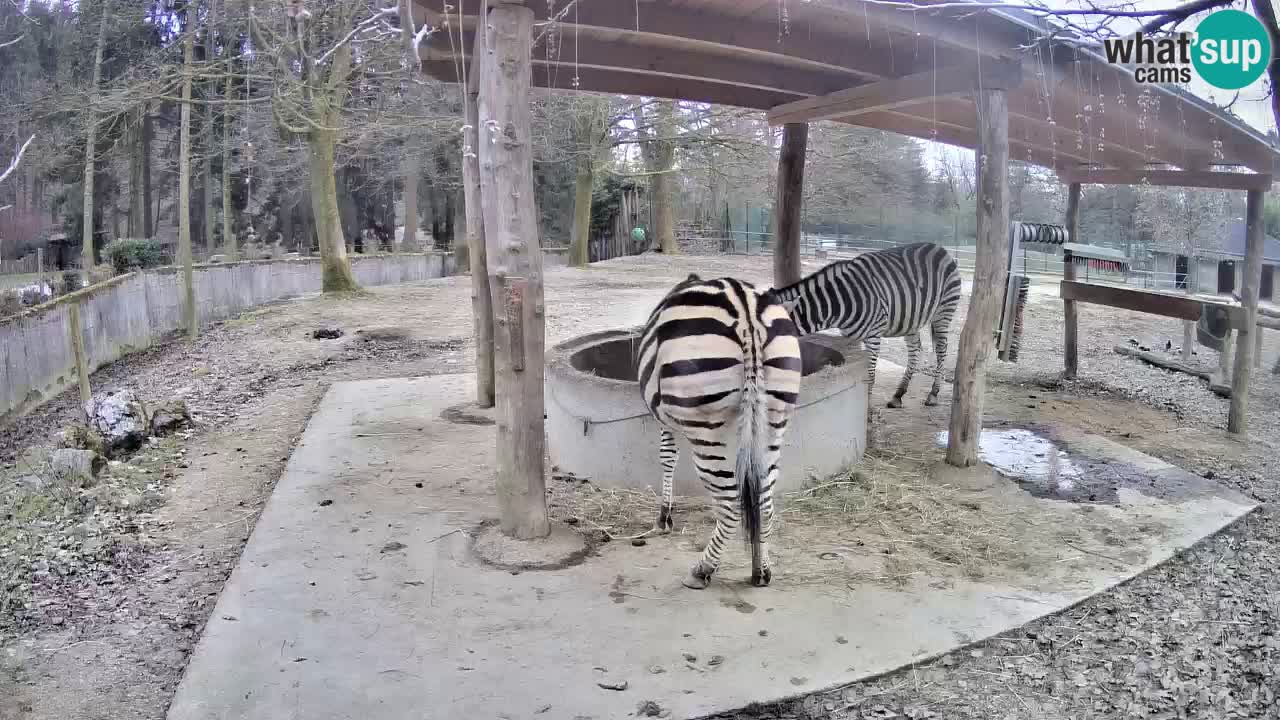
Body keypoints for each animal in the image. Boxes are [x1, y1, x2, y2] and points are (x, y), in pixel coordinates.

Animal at [637, 271, 798, 586]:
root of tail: (746, 312)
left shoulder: (664, 419)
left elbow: (667, 457)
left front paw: (664, 517)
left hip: (705, 428)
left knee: (729, 503)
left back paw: (703, 569)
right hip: (774, 420)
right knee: (764, 501)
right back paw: (761, 569)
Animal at [768, 240, 962, 407]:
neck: (838, 302)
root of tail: (938, 247)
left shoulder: (874, 334)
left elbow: (870, 375)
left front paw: (867, 413)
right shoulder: (850, 336)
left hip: (943, 312)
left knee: (941, 351)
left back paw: (933, 394)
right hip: (911, 320)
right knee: (915, 351)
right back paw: (898, 395)